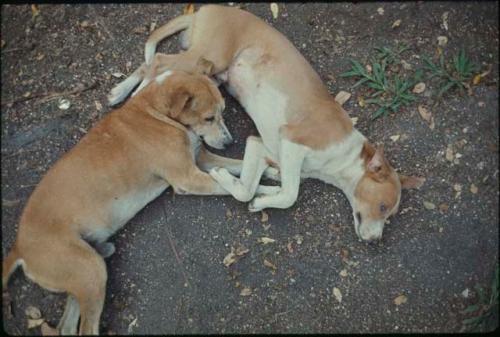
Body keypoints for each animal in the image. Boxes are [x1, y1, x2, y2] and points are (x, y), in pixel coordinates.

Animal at [1, 70, 280, 334]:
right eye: (208, 118)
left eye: (222, 112)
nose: (229, 141)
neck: (156, 111)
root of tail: (19, 247)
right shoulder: (188, 178)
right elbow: (240, 187)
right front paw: (267, 192)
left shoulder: (202, 159)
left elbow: (239, 166)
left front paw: (274, 171)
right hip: (90, 272)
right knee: (85, 329)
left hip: (85, 273)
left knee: (66, 327)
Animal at [110, 3, 426, 240]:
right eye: (382, 206)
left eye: (390, 214)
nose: (374, 241)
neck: (341, 158)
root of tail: (209, 8)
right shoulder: (292, 143)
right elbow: (288, 194)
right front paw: (235, 184)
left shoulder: (262, 148)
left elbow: (270, 184)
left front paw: (259, 192)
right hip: (207, 56)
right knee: (158, 62)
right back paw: (130, 92)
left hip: (211, 70)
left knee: (156, 65)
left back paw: (124, 92)